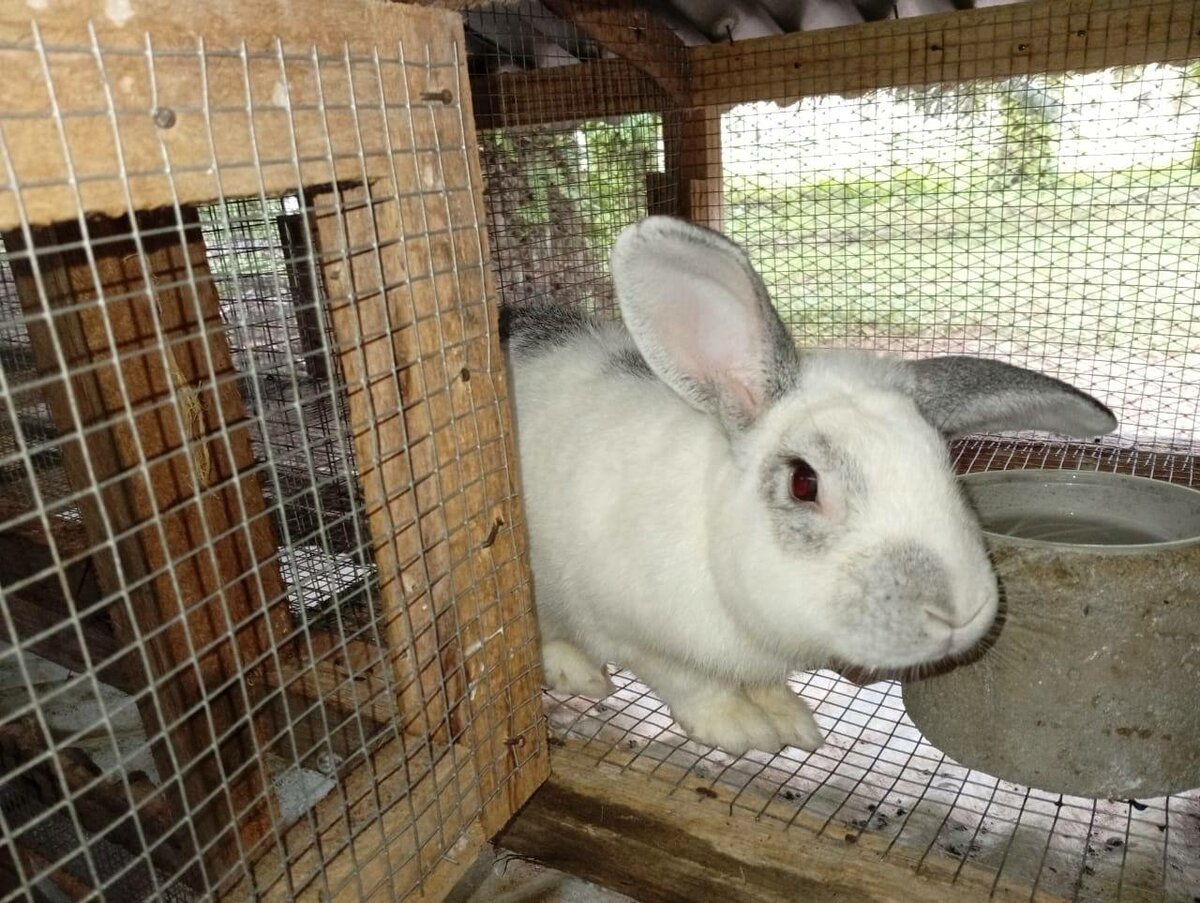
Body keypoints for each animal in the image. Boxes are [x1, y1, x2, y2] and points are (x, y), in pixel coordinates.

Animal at [501, 216, 1117, 756]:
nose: (960, 614)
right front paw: (741, 729)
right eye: (803, 483)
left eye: (946, 462)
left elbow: (765, 684)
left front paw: (791, 720)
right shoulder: (632, 635)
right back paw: (578, 673)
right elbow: (693, 684)